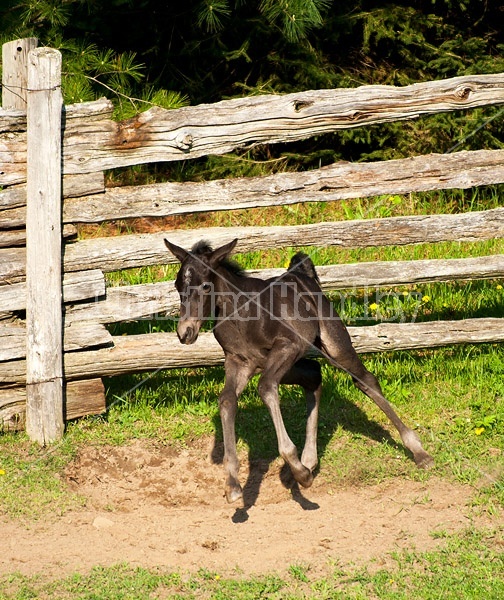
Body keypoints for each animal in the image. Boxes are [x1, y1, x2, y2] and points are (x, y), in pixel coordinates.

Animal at [165, 237, 434, 504]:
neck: (242, 315)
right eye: (178, 286)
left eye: (206, 286)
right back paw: (308, 461)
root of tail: (302, 275)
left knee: (364, 380)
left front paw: (296, 468)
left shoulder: (287, 347)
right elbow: (227, 400)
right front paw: (233, 483)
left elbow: (265, 387)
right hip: (287, 366)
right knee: (314, 374)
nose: (185, 333)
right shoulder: (238, 362)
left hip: (331, 345)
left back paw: (419, 451)